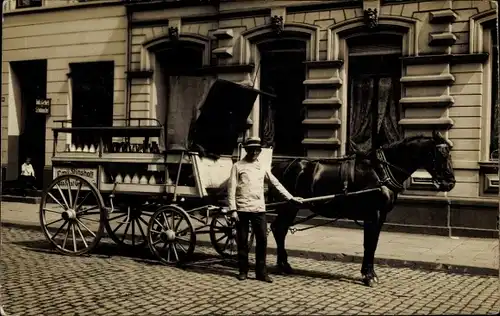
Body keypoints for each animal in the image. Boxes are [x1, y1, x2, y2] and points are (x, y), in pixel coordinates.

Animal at [270, 131, 458, 286]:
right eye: (441, 155)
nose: (450, 182)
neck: (381, 171)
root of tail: (279, 166)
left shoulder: (381, 215)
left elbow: (372, 244)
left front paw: (368, 273)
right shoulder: (373, 214)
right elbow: (370, 244)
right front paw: (369, 276)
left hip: (292, 206)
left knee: (279, 229)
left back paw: (284, 265)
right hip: (288, 207)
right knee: (279, 229)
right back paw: (283, 264)